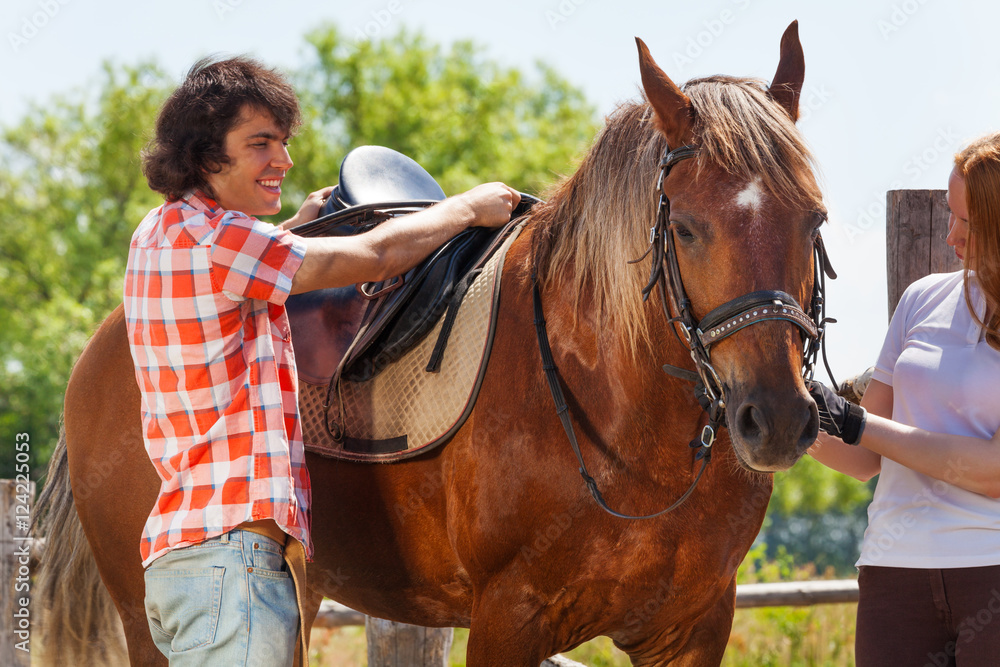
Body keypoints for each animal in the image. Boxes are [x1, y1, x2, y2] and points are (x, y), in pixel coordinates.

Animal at [35, 23, 824, 664]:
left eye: (814, 219)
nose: (777, 418)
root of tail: (99, 349)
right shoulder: (508, 619)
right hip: (147, 618)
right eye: (685, 227)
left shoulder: (692, 628)